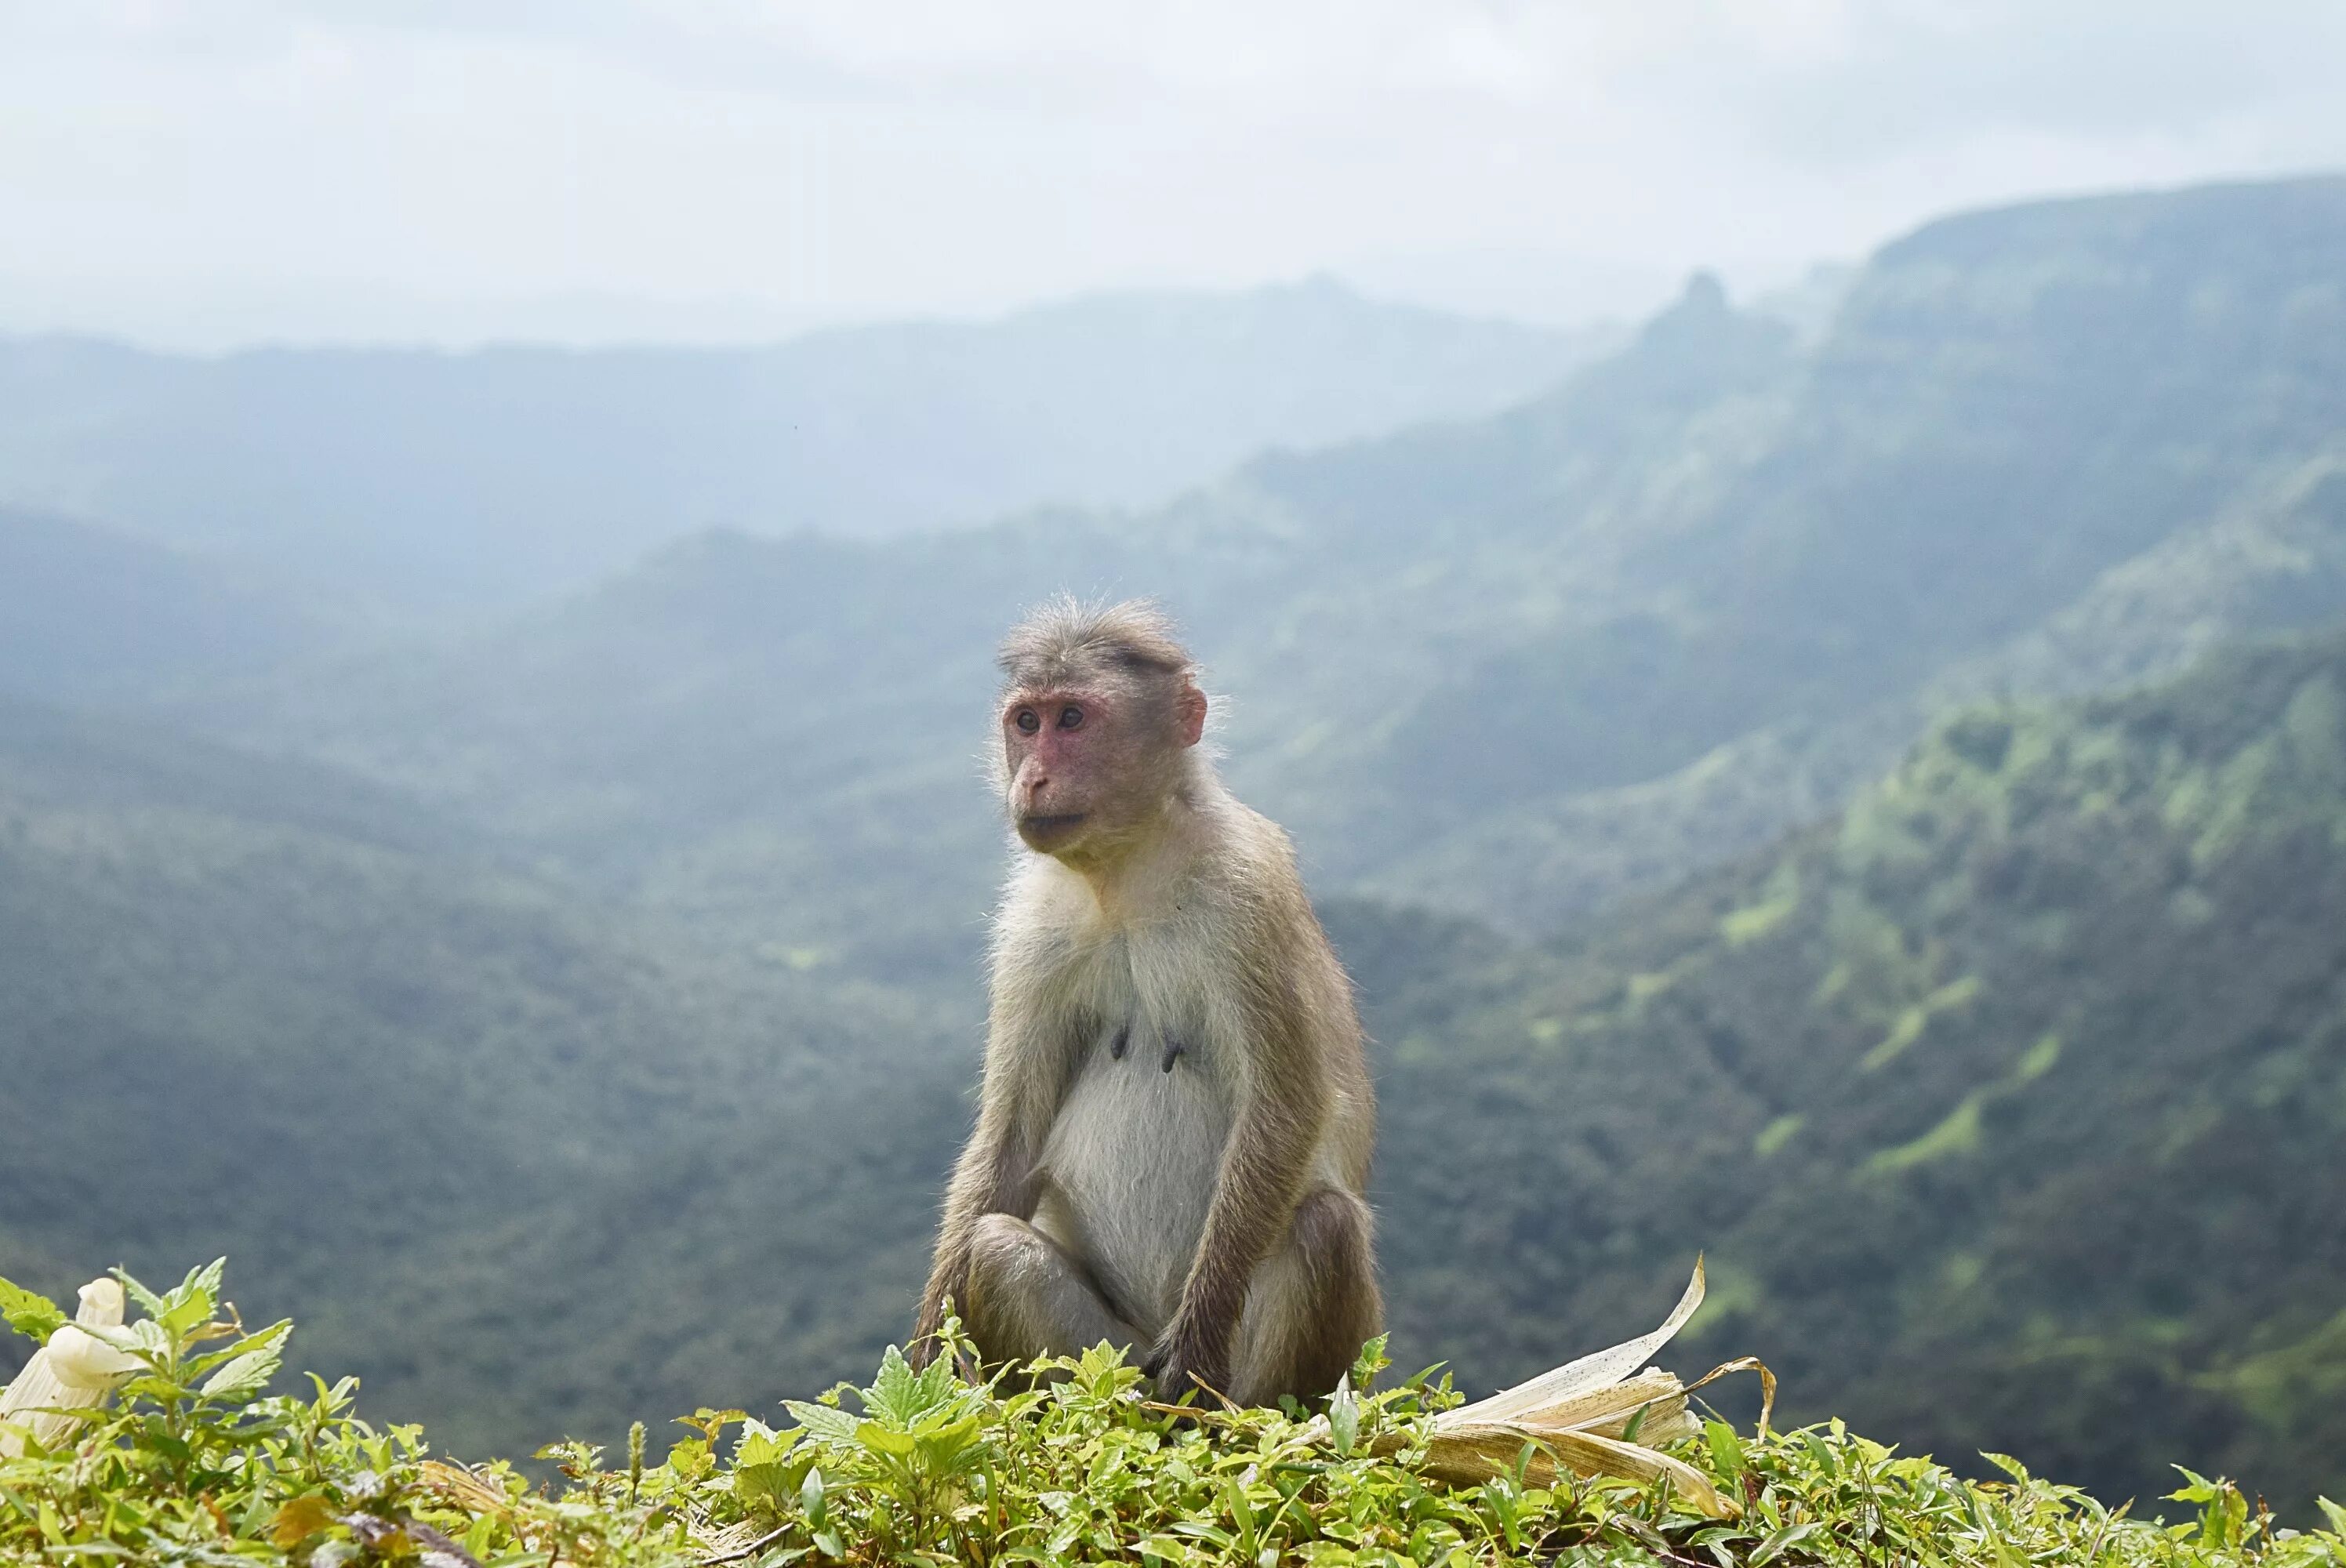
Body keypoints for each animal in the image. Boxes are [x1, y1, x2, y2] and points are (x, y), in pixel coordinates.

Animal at [900, 593, 1370, 1399]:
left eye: (1073, 719)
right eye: (1026, 722)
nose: (1032, 780)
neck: (1125, 872)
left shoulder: (1248, 893)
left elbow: (1286, 1104)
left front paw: (1199, 1332)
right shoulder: (1033, 928)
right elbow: (1012, 1137)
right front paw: (929, 1353)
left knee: (1326, 1229)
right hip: (1107, 1363)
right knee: (994, 1250)